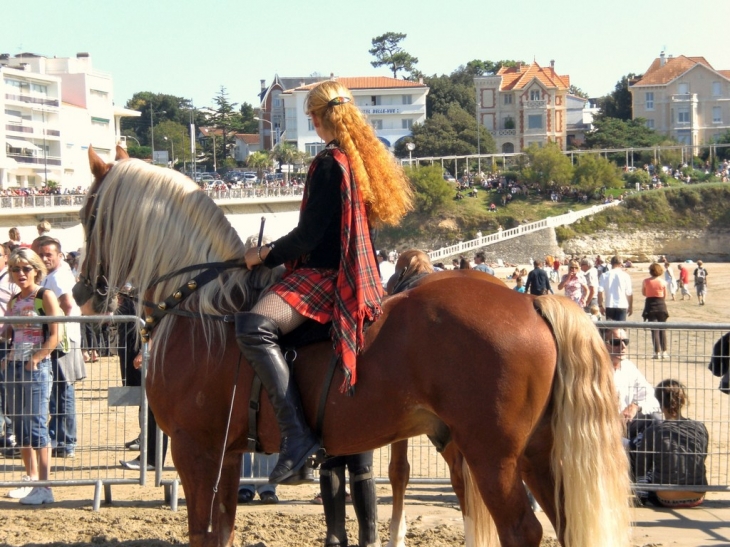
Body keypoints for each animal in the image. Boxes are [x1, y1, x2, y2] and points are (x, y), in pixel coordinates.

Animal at [77, 147, 628, 547]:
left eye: (87, 214)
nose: (84, 293)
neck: (201, 305)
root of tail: (531, 300)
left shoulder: (197, 450)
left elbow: (202, 534)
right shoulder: (227, 456)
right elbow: (221, 533)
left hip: (493, 455)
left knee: (523, 530)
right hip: (535, 451)